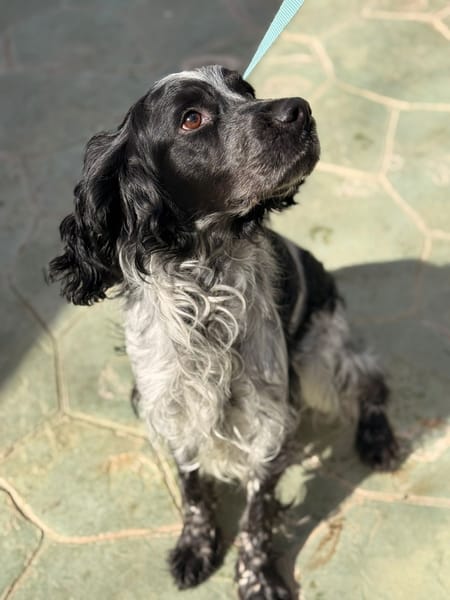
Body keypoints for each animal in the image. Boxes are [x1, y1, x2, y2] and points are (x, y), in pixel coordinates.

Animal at [49, 65, 398, 599]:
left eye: (246, 91)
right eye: (191, 119)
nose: (299, 109)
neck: (205, 287)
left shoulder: (269, 419)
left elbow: (257, 515)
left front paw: (257, 577)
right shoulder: (168, 406)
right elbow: (193, 488)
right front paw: (196, 545)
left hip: (320, 356)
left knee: (371, 380)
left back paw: (377, 438)